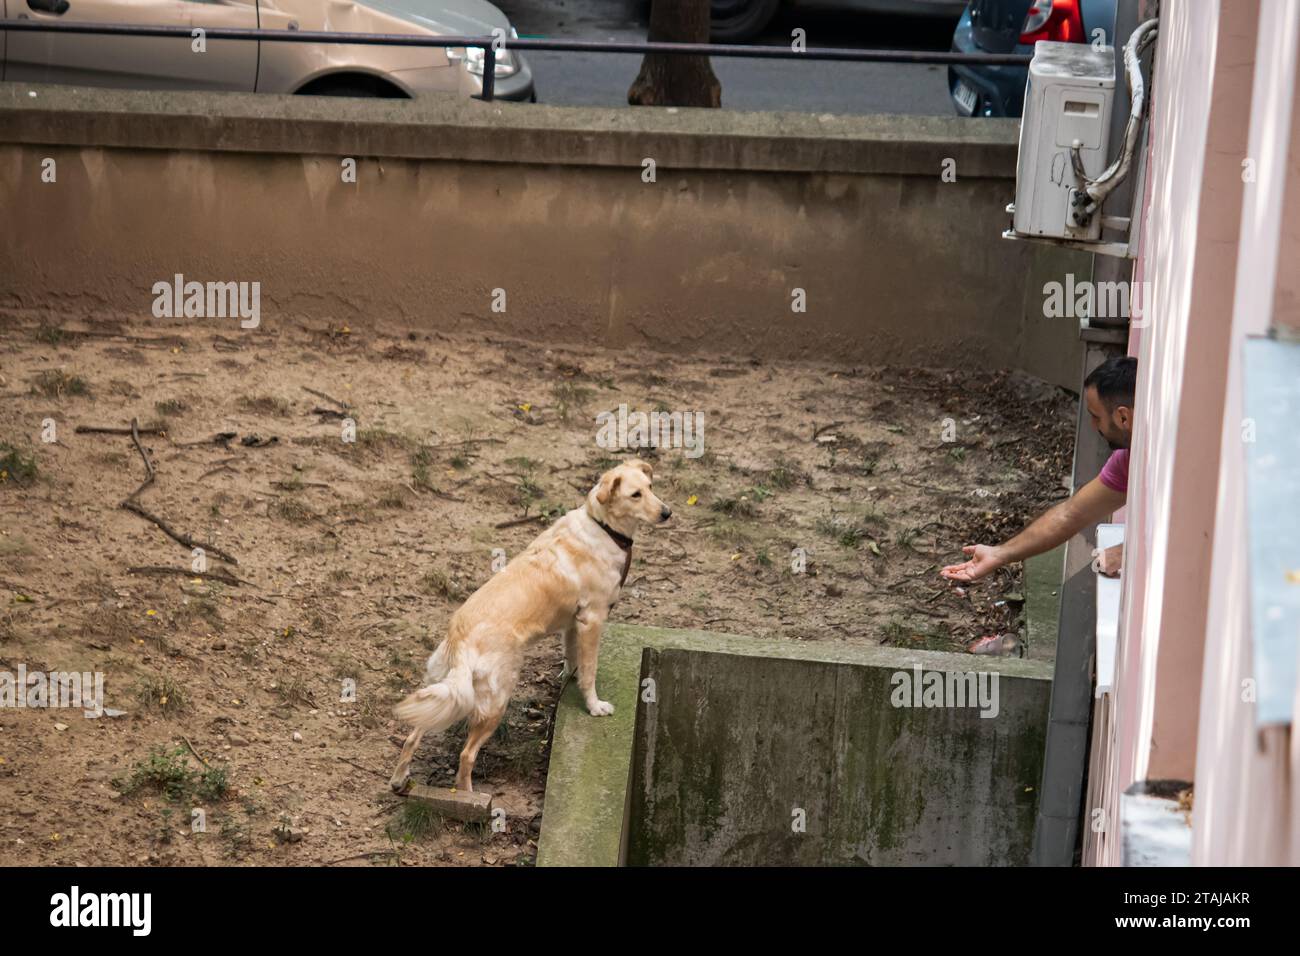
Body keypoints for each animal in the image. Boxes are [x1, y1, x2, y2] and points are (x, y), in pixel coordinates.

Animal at [384, 460, 670, 796]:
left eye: (650, 487)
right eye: (635, 495)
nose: (667, 513)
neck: (603, 527)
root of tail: (460, 637)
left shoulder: (572, 623)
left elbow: (572, 660)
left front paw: (568, 682)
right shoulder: (592, 620)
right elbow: (589, 671)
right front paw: (594, 706)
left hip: (440, 692)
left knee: (412, 736)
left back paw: (400, 779)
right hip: (496, 701)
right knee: (466, 755)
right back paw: (471, 796)